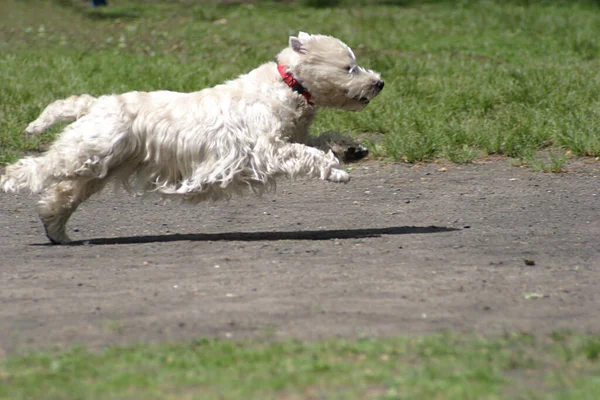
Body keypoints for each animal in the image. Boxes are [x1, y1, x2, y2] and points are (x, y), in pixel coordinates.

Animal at [1, 32, 384, 244]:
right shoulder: (268, 148)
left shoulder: (294, 136)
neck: (288, 85)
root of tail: (95, 104)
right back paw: (9, 184)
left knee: (61, 196)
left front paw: (352, 150)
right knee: (33, 169)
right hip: (85, 153)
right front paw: (337, 171)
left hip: (97, 168)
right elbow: (308, 155)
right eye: (349, 67)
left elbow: (321, 141)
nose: (379, 82)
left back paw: (59, 234)